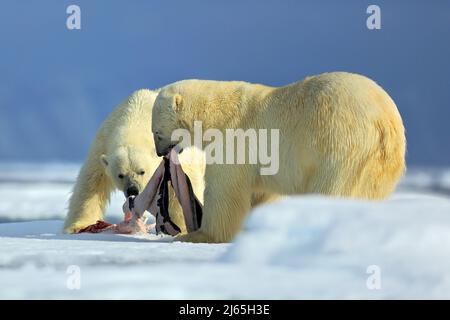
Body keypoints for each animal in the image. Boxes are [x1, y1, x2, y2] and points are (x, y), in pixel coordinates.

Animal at [62, 89, 206, 234]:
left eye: (142, 171)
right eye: (120, 175)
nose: (132, 190)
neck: (136, 116)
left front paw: (182, 227)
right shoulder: (102, 144)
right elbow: (91, 183)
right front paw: (78, 226)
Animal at [152, 72, 408, 242]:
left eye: (156, 132)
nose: (159, 152)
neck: (216, 113)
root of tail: (384, 121)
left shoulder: (233, 139)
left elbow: (225, 191)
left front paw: (198, 235)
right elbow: (262, 192)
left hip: (338, 142)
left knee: (332, 187)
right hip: (381, 161)